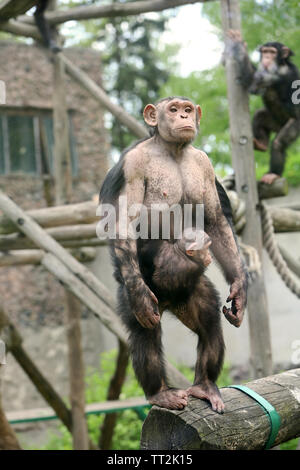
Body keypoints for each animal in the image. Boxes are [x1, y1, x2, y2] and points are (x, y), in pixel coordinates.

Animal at [99, 97, 247, 414]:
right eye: (173, 109)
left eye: (188, 109)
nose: (182, 116)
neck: (172, 150)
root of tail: (169, 304)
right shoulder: (132, 164)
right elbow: (124, 221)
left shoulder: (205, 165)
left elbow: (216, 218)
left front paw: (240, 291)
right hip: (139, 296)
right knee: (145, 335)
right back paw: (160, 393)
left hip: (192, 297)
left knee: (209, 323)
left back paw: (205, 385)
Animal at [229, 30, 298, 184]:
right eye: (265, 51)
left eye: (272, 52)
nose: (266, 57)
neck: (281, 63)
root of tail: (281, 125)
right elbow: (250, 79)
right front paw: (239, 44)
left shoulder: (279, 74)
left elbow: (255, 83)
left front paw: (239, 45)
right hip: (275, 122)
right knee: (259, 115)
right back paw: (261, 144)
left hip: (296, 124)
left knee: (278, 143)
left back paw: (272, 174)